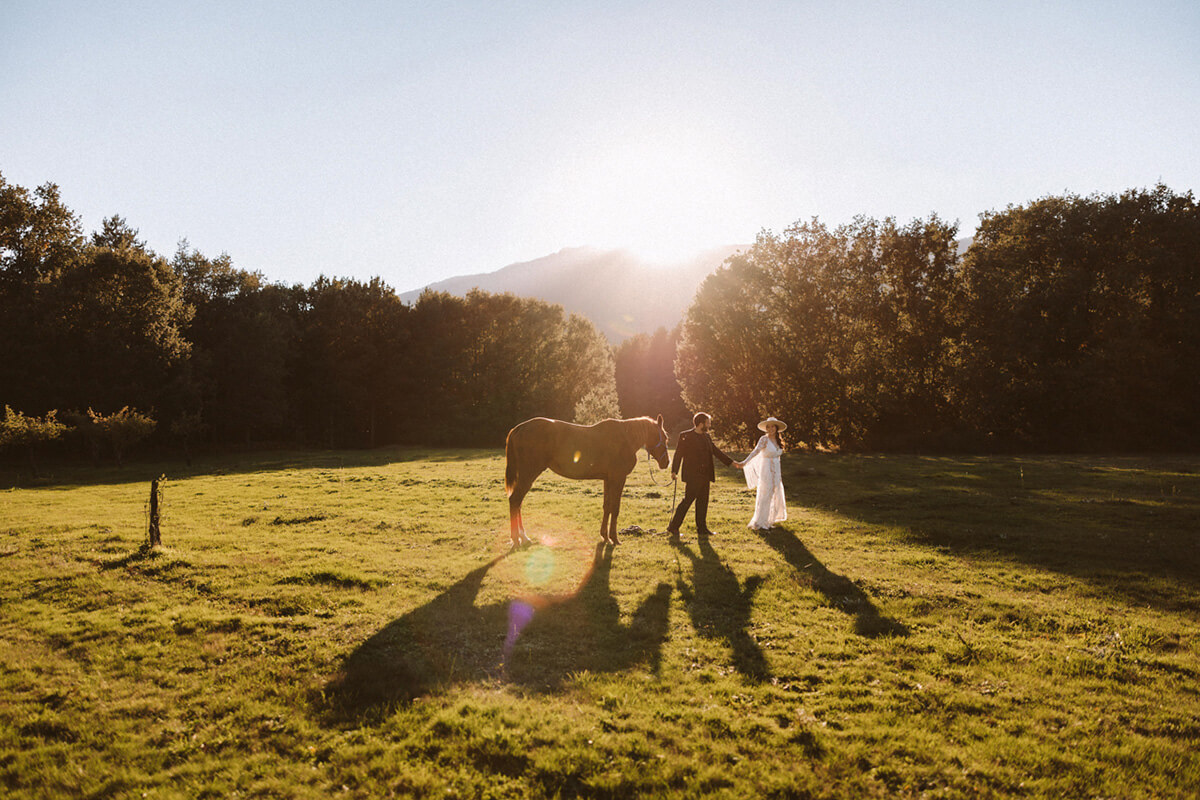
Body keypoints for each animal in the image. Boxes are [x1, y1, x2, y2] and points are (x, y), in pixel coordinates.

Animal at [504, 415, 670, 547]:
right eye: (665, 437)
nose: (666, 462)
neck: (626, 438)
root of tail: (517, 429)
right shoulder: (618, 478)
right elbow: (615, 508)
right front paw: (615, 539)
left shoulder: (608, 479)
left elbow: (607, 507)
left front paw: (605, 536)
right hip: (528, 473)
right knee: (515, 500)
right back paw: (517, 538)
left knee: (518, 503)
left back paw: (523, 537)